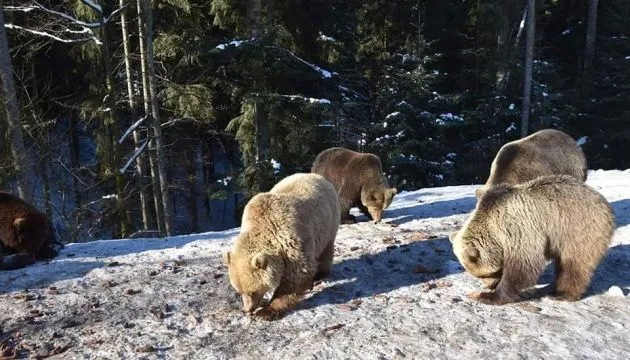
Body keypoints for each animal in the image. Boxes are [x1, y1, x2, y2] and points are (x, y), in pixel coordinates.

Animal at [222, 173, 340, 320]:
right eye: (239, 290)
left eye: (252, 291)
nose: (248, 310)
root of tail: (318, 176)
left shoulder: (291, 241)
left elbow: (298, 274)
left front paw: (266, 311)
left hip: (328, 222)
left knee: (326, 250)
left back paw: (320, 275)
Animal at [452, 176, 616, 306]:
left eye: (485, 274)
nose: (490, 285)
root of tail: (605, 203)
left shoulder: (520, 230)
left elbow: (524, 266)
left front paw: (489, 296)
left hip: (579, 230)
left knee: (574, 264)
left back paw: (563, 293)